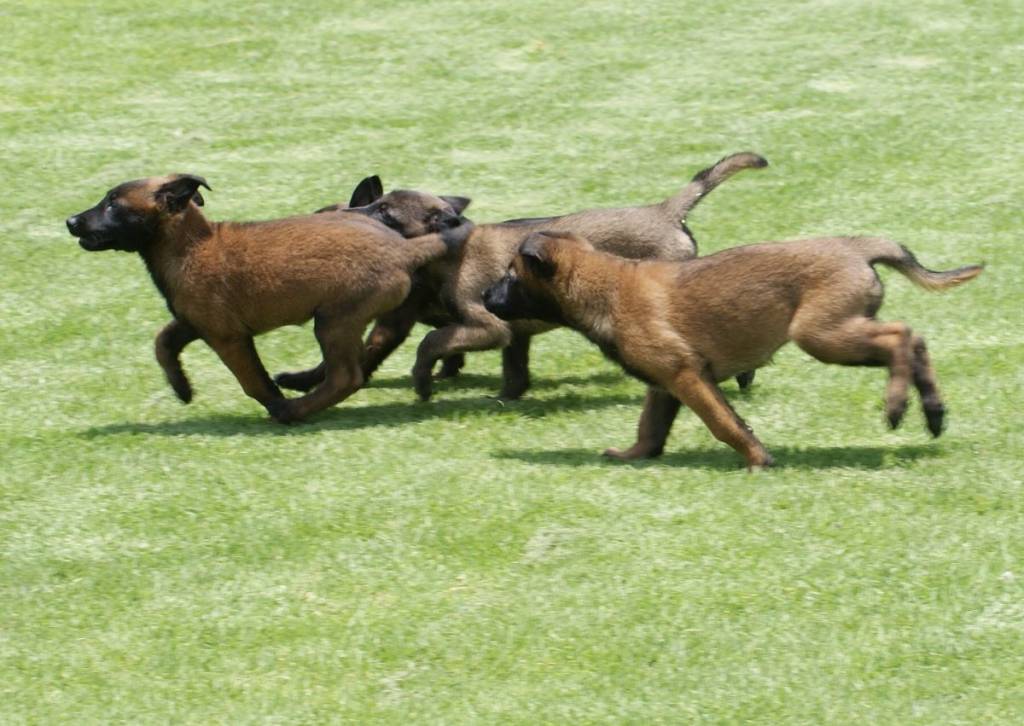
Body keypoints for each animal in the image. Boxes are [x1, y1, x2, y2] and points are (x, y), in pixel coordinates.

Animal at [65, 173, 470, 423]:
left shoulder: (227, 337)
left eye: (112, 204)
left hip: (334, 321)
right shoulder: (195, 322)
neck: (192, 246)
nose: (71, 221)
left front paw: (276, 403)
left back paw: (296, 410)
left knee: (346, 376)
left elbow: (253, 381)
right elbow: (162, 342)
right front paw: (181, 388)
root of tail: (403, 250)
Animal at [275, 152, 768, 400]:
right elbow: (510, 369)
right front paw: (505, 397)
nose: (349, 219)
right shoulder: (510, 334)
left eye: (385, 213)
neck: (448, 255)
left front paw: (424, 381)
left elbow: (430, 342)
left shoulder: (483, 325)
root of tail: (666, 211)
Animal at [482, 230, 983, 469]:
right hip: (838, 329)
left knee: (902, 337)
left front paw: (758, 460)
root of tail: (854, 247)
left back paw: (898, 405)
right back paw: (933, 410)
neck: (604, 288)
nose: (485, 297)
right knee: (915, 340)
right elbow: (650, 428)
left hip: (821, 334)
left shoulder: (687, 376)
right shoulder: (665, 384)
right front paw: (633, 456)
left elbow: (724, 424)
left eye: (510, 277)